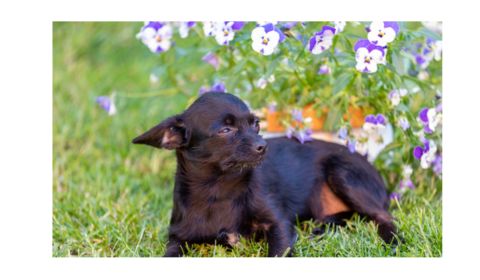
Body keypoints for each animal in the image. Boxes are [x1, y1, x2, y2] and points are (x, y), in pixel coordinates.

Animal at [132, 91, 398, 256]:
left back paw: (393, 242)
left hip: (341, 172)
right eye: (225, 130)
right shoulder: (177, 238)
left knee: (384, 216)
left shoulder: (279, 226)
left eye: (256, 125)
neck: (218, 191)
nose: (263, 146)